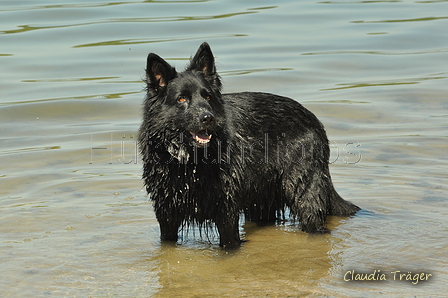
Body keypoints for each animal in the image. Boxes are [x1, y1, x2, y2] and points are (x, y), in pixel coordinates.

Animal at [138, 41, 358, 247]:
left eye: (207, 96)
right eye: (181, 99)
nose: (208, 118)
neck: (191, 162)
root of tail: (314, 119)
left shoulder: (226, 213)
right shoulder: (167, 216)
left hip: (303, 194)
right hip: (259, 202)